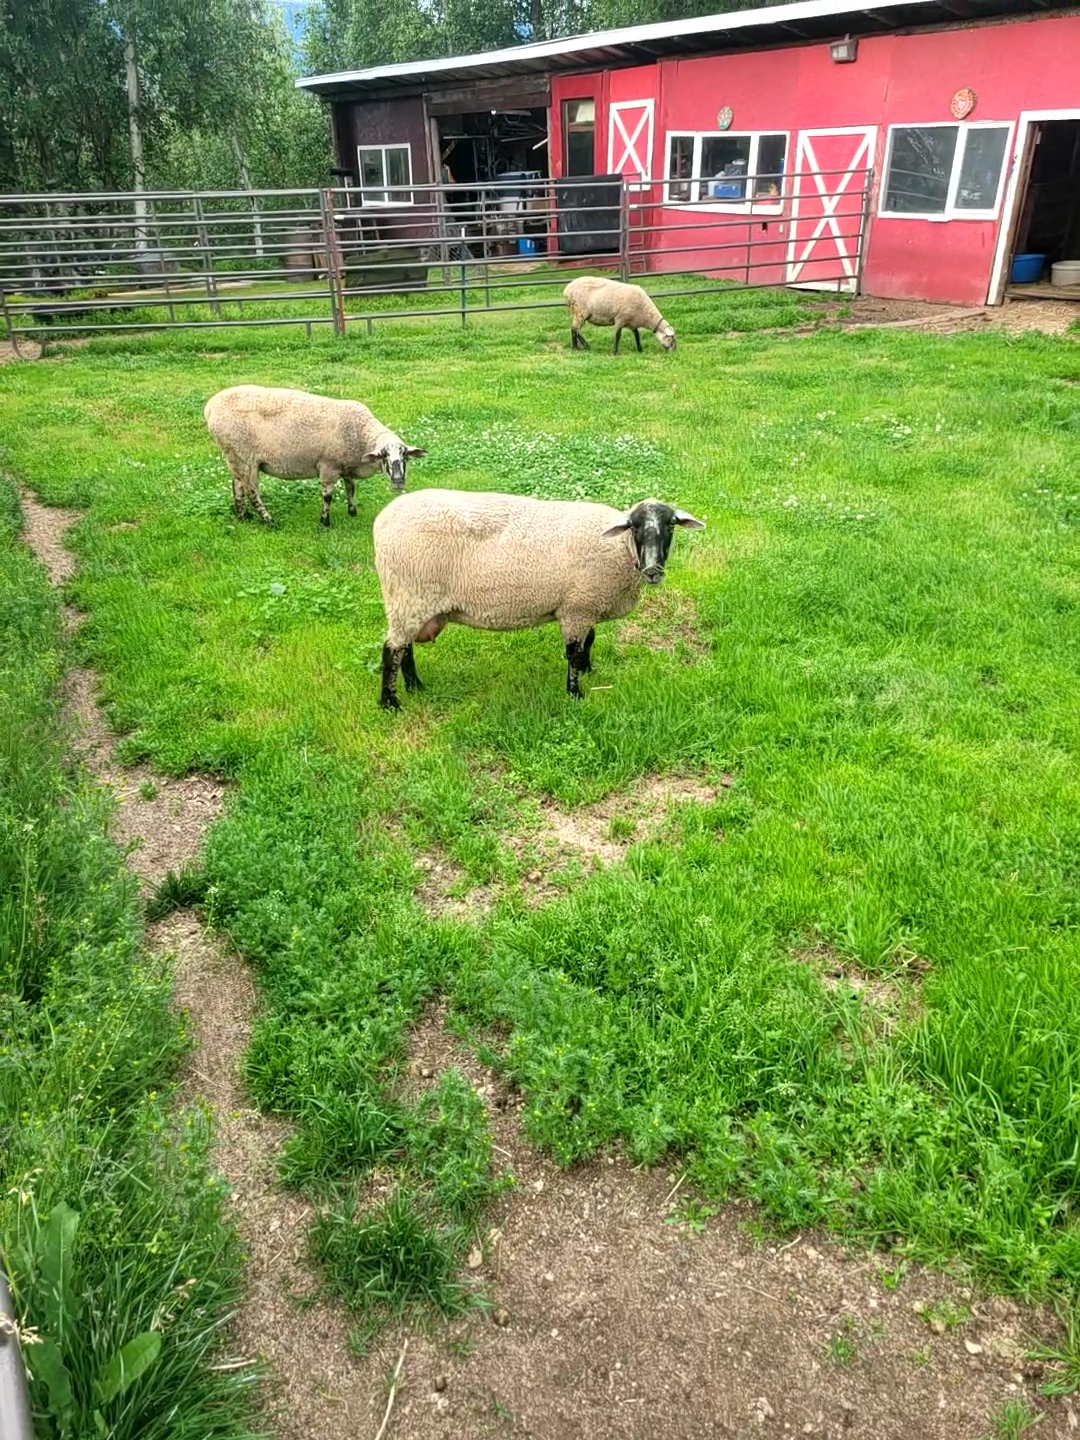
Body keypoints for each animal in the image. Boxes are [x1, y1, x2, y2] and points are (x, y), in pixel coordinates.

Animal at [203, 384, 427, 528]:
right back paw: (269, 521)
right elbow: (328, 496)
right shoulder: (329, 466)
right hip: (244, 457)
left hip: (234, 456)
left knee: (237, 487)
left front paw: (352, 512)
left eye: (405, 457)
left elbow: (351, 488)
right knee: (251, 491)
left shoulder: (345, 465)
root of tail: (210, 407)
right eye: (383, 456)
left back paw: (242, 517)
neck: (360, 434)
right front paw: (325, 522)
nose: (398, 481)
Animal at [373, 490, 704, 710]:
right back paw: (390, 703)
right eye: (635, 527)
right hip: (409, 592)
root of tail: (382, 520)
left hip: (413, 601)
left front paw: (588, 670)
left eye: (670, 525)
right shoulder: (577, 608)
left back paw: (416, 687)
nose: (652, 571)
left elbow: (590, 641)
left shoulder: (583, 603)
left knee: (405, 648)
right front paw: (575, 692)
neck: (620, 548)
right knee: (392, 651)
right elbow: (573, 652)